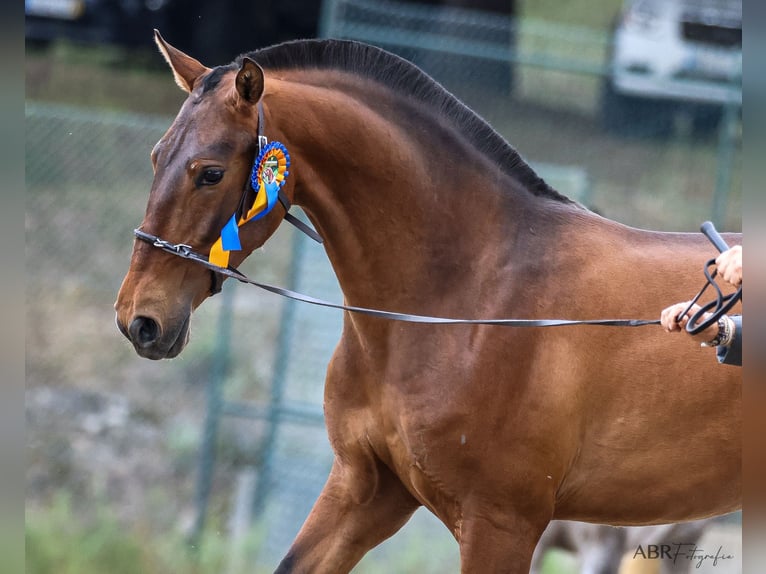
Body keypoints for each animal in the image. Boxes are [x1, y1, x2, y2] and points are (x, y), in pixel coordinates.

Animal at [115, 32, 744, 574]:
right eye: (154, 157)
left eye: (210, 173)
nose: (138, 321)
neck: (466, 304)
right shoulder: (367, 488)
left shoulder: (502, 524)